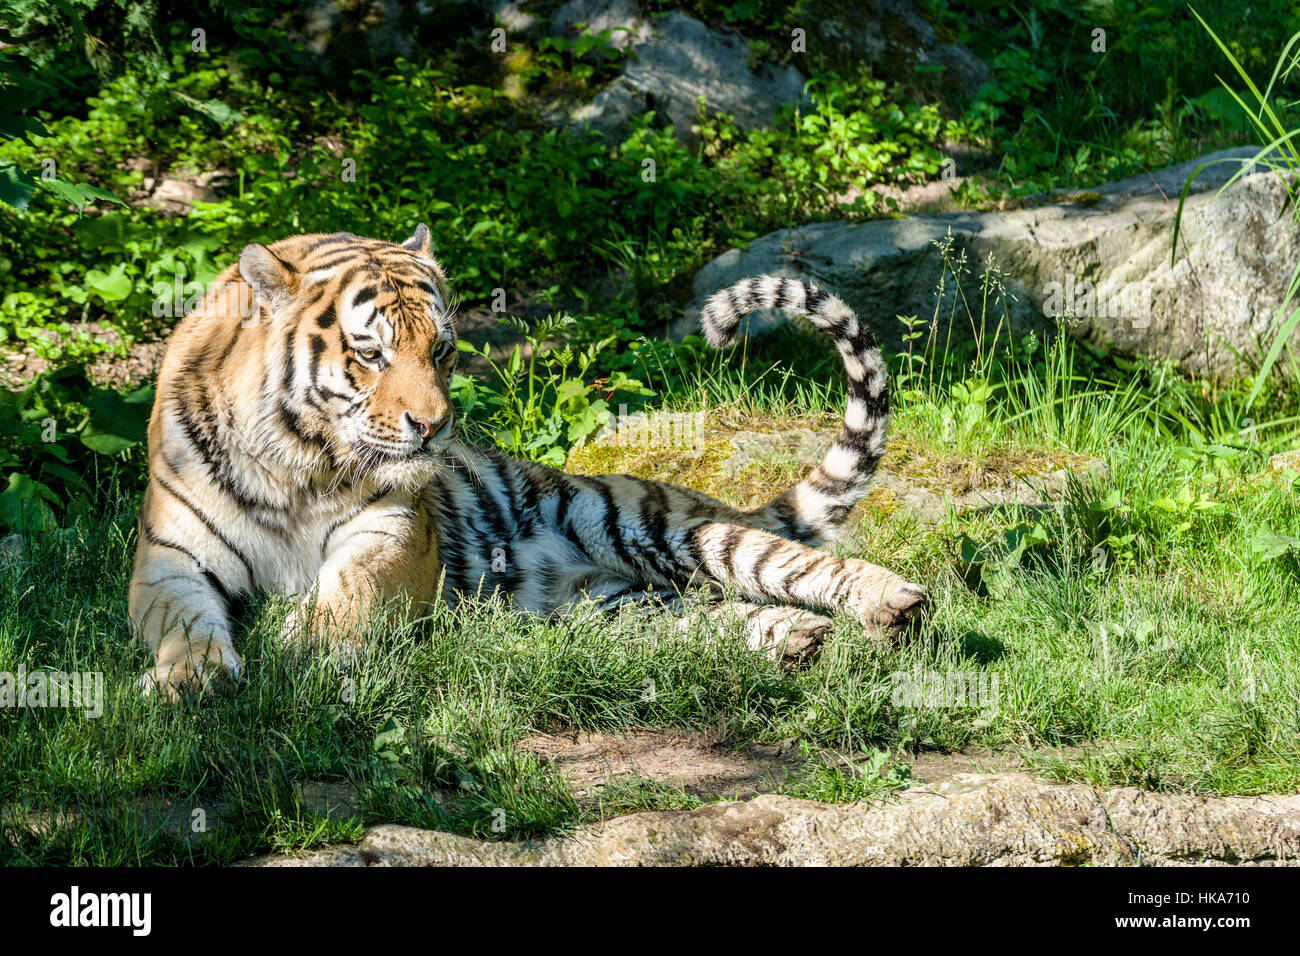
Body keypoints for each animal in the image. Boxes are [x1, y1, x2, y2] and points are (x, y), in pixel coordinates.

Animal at [129, 226, 925, 702]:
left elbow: (352, 588)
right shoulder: (169, 557)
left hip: (647, 524)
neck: (298, 463)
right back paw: (796, 640)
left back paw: (891, 605)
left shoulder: (393, 534)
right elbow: (182, 621)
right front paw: (191, 681)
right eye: (370, 353)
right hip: (620, 610)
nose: (433, 427)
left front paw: (308, 643)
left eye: (442, 350)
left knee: (792, 563)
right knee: (711, 618)